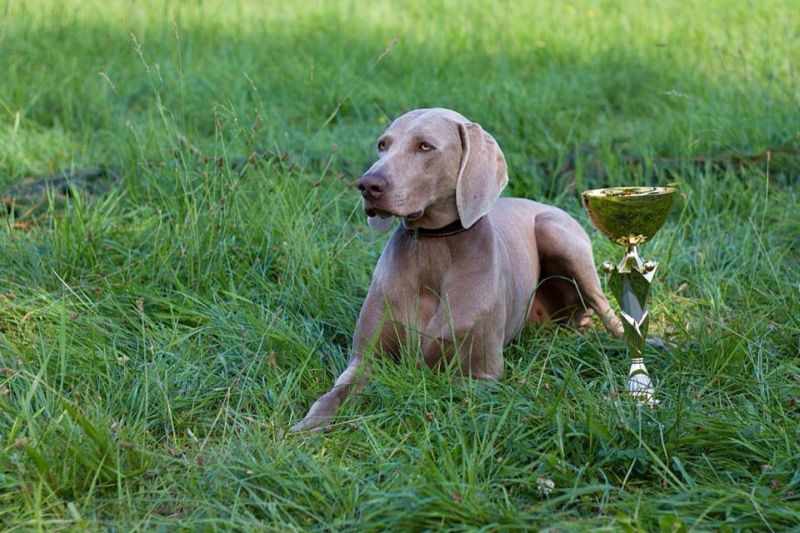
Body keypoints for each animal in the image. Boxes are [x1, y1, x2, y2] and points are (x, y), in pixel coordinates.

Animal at [290, 108, 620, 432]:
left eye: (425, 146)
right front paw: (307, 427)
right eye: (382, 145)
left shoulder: (481, 376)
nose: (368, 185)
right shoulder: (365, 360)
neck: (433, 247)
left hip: (554, 231)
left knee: (606, 308)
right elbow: (334, 395)